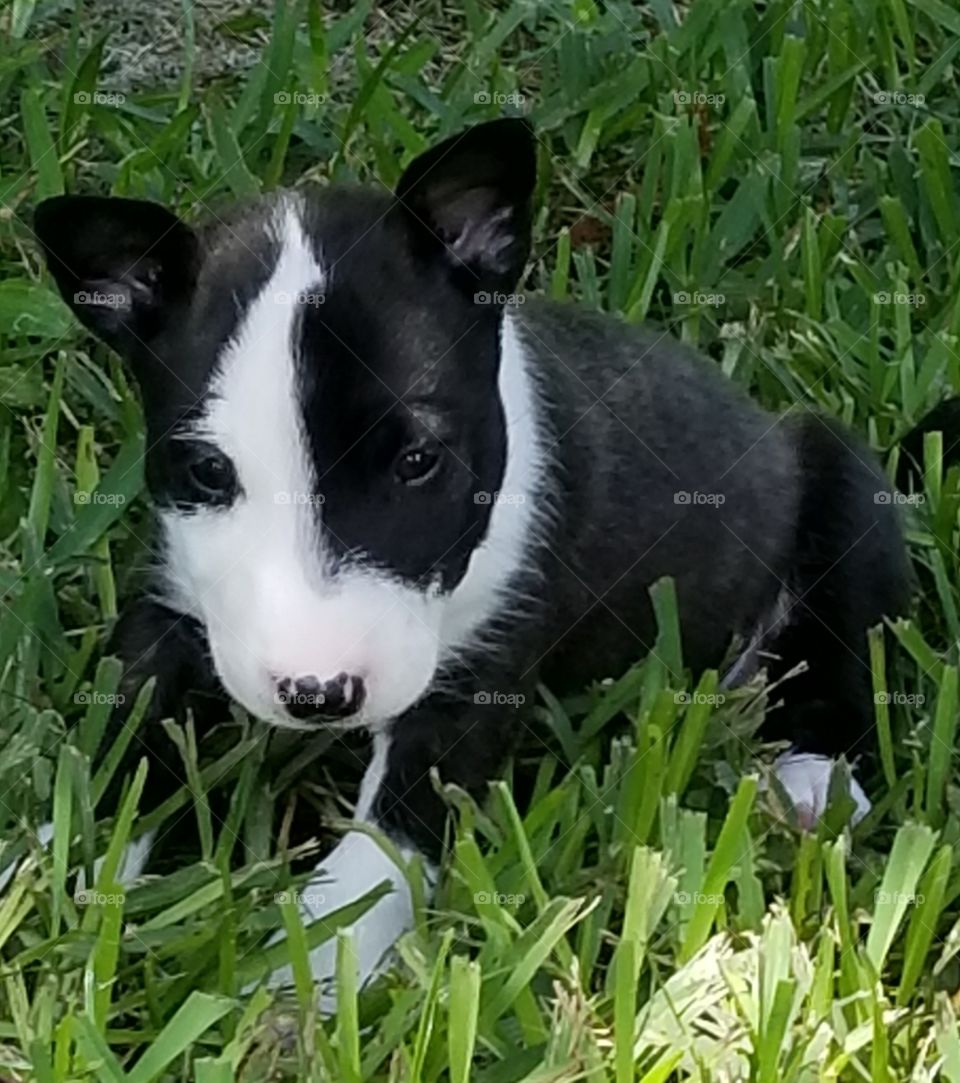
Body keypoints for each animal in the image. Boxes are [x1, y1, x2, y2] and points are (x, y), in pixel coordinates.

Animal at [35, 118, 931, 1005]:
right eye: (208, 472)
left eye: (419, 461)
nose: (319, 695)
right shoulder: (175, 603)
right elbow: (117, 735)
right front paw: (59, 871)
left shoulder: (478, 676)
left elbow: (388, 842)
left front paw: (311, 974)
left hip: (842, 486)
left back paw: (814, 779)